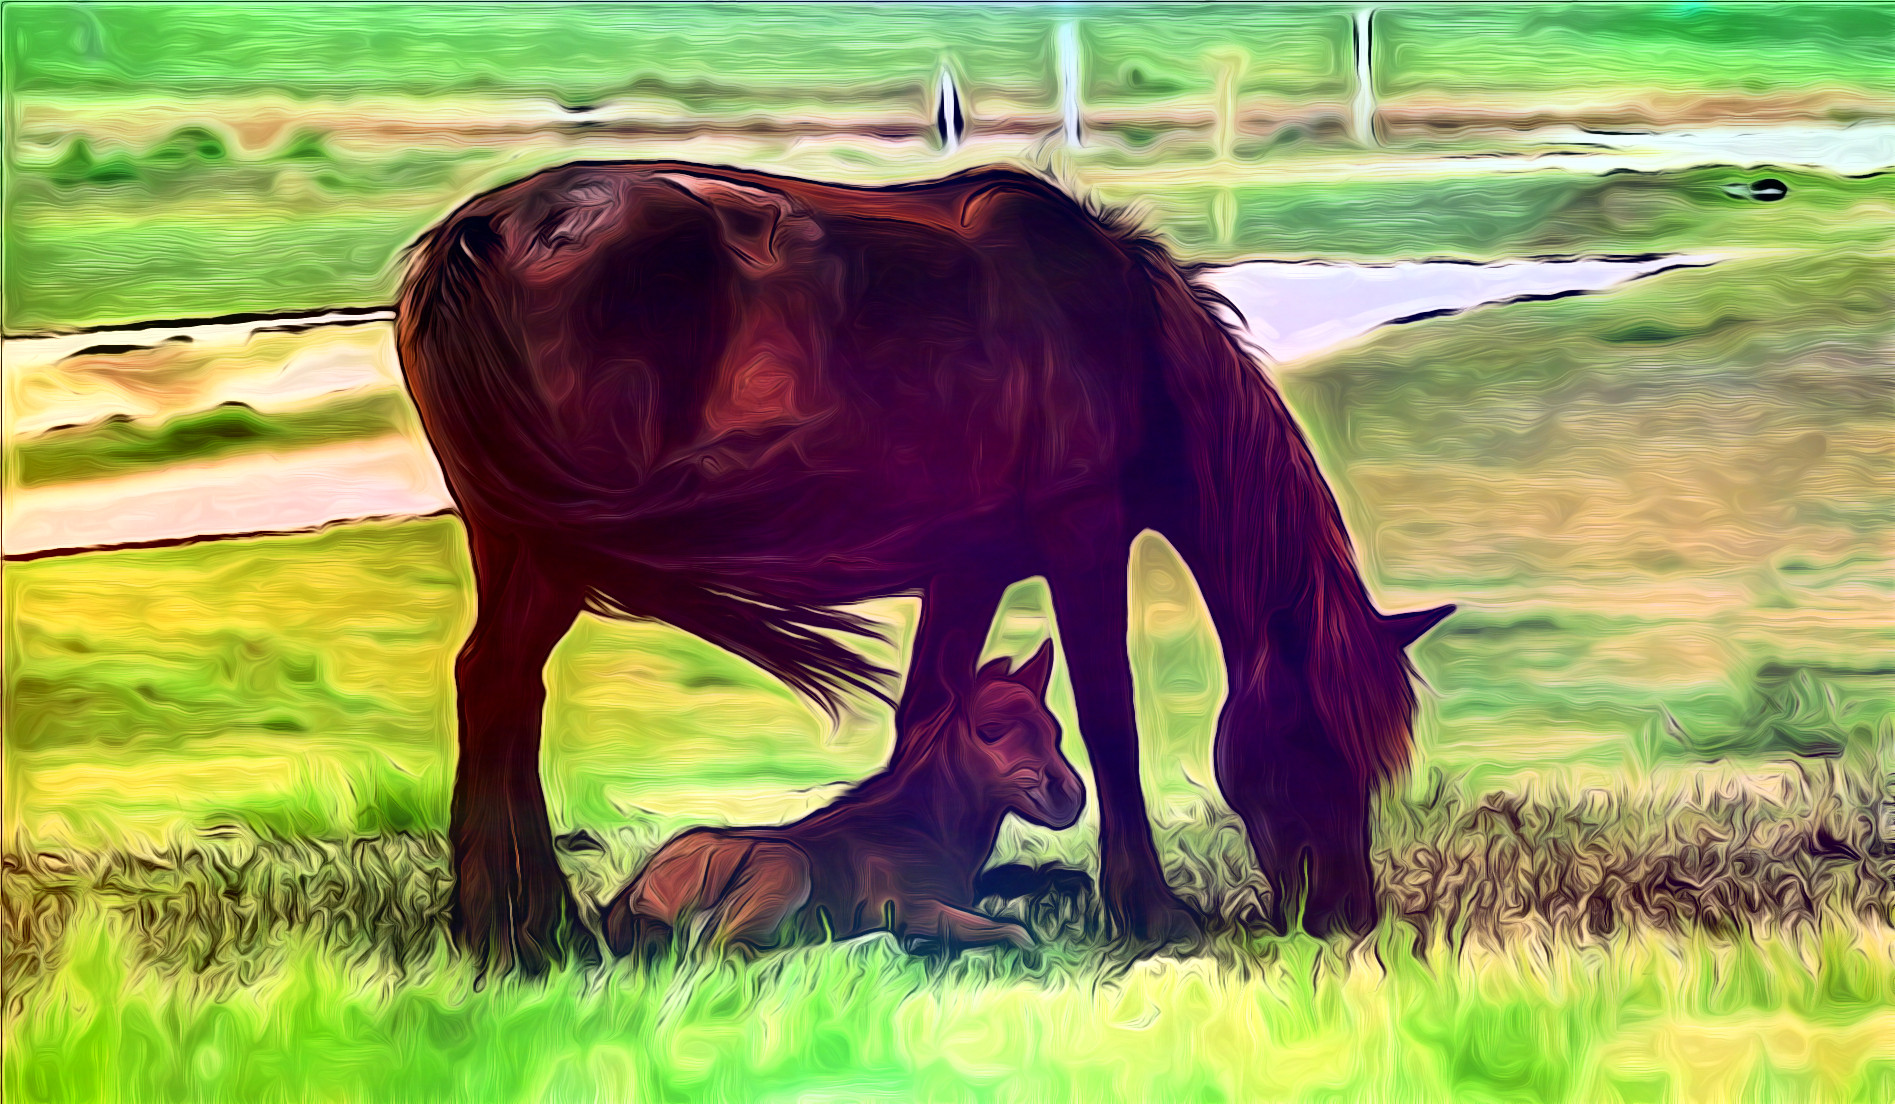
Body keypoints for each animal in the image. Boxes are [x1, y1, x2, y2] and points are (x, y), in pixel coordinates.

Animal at [602, 641, 1085, 960]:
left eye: (1054, 729)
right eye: (990, 730)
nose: (1070, 797)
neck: (925, 832)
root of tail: (635, 888)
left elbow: (1032, 877)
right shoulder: (912, 909)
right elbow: (1018, 935)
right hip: (786, 868)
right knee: (724, 950)